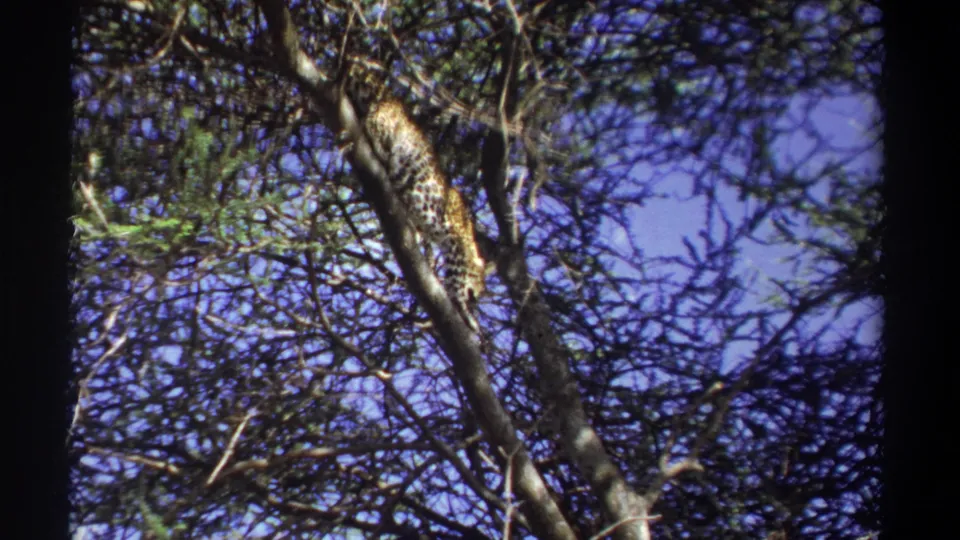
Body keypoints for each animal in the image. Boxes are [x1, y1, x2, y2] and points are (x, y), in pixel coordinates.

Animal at [340, 65, 486, 333]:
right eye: (481, 282)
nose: (479, 296)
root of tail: (389, 95)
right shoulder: (457, 245)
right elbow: (456, 286)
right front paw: (470, 319)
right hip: (394, 127)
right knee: (371, 125)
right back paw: (382, 155)